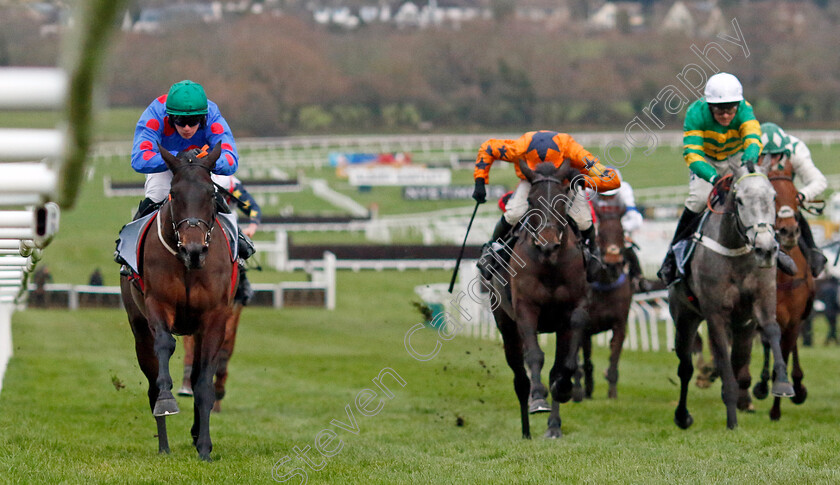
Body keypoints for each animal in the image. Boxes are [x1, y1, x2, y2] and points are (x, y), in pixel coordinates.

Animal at [120, 142, 236, 460]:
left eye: (211, 193)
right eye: (174, 193)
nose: (194, 250)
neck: (188, 265)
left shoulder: (215, 317)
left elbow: (203, 383)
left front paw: (205, 446)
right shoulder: (157, 305)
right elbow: (164, 348)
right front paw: (167, 401)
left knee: (197, 376)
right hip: (138, 328)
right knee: (151, 381)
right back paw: (164, 446)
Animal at [486, 160, 592, 438]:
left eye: (562, 200)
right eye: (532, 200)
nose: (548, 244)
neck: (549, 264)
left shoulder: (570, 313)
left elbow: (563, 366)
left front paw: (563, 391)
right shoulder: (525, 309)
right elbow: (534, 356)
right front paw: (538, 398)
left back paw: (553, 425)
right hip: (506, 325)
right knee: (519, 378)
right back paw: (526, 429)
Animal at [580, 191, 632, 398]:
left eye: (622, 232)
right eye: (600, 234)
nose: (612, 263)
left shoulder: (619, 324)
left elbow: (614, 358)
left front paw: (612, 393)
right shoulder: (584, 327)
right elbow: (586, 360)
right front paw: (587, 390)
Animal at [668, 157, 796, 430]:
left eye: (772, 196)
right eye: (739, 200)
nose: (766, 249)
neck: (736, 250)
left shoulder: (762, 299)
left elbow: (772, 330)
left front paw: (782, 383)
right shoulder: (715, 313)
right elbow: (721, 361)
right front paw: (732, 420)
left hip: (743, 326)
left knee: (738, 360)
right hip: (685, 317)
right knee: (685, 367)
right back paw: (682, 415)